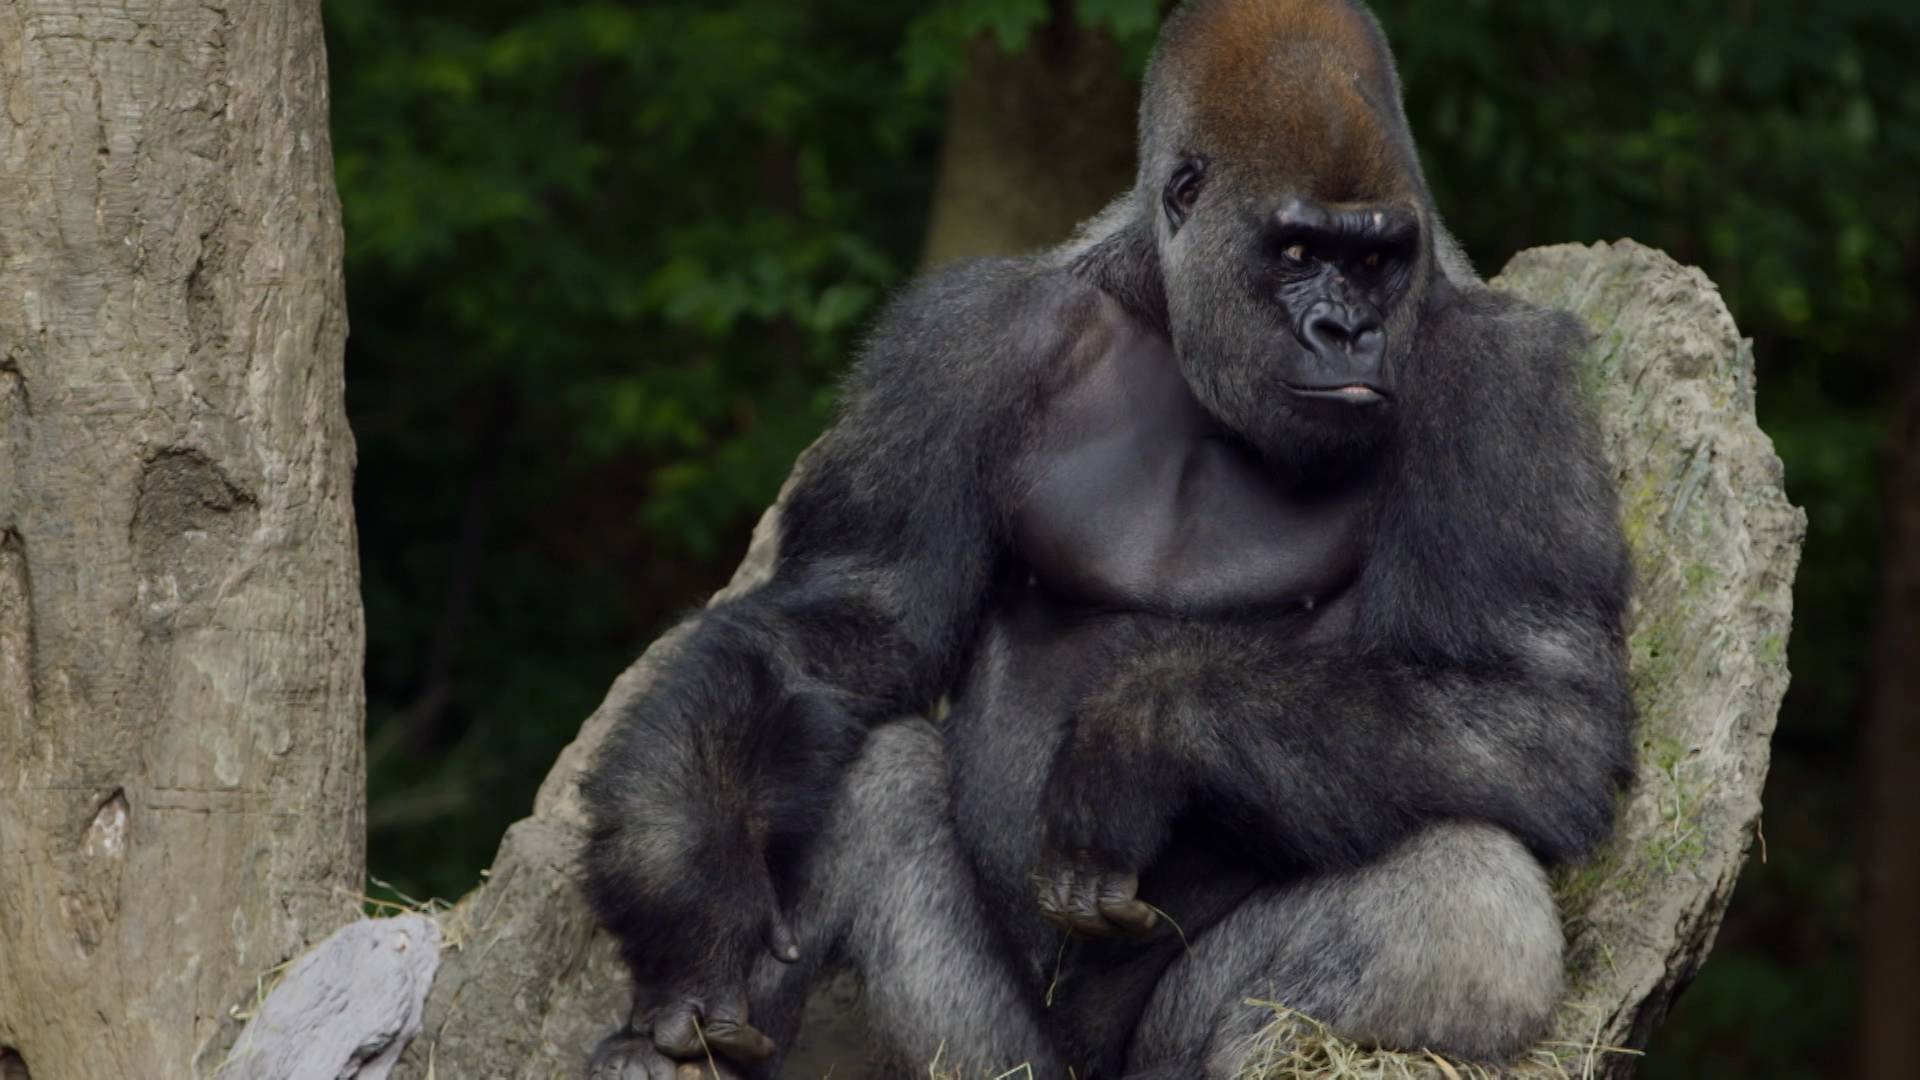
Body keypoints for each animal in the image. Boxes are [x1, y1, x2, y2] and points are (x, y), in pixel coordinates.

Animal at [576, 4, 1628, 1068]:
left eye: (1376, 260)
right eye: (1298, 253)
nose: (1348, 332)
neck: (1172, 316)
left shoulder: (1506, 384)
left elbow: (1544, 712)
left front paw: (1146, 730)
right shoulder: (958, 342)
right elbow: (848, 622)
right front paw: (686, 887)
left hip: (1154, 1055)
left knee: (1466, 895)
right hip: (1015, 1058)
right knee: (869, 770)